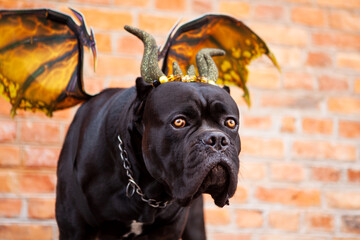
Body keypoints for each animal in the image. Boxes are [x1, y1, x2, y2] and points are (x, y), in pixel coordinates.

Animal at [56, 24, 240, 240]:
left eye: (230, 122)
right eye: (179, 122)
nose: (217, 139)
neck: (147, 189)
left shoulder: (169, 230)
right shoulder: (75, 228)